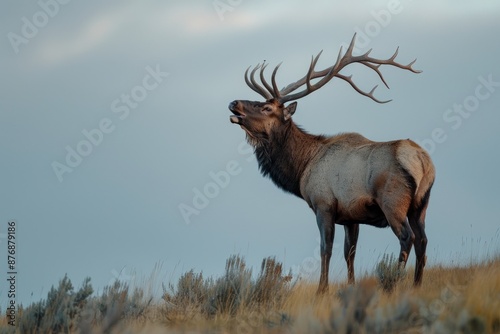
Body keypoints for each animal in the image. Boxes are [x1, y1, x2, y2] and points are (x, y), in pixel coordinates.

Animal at [229, 35, 436, 294]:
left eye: (267, 108)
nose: (234, 103)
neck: (302, 167)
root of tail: (422, 160)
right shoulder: (351, 216)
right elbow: (350, 253)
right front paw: (350, 285)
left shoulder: (323, 205)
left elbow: (325, 249)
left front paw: (322, 289)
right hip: (421, 204)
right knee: (423, 240)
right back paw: (417, 285)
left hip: (393, 202)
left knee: (407, 237)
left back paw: (395, 282)